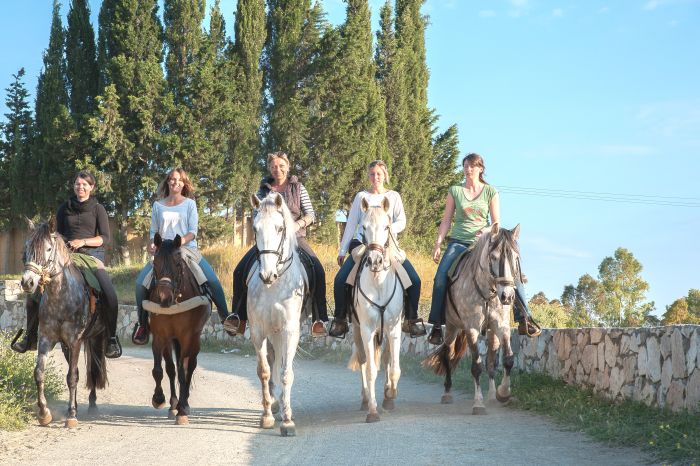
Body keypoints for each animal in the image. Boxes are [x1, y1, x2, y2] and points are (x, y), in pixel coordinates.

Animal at [21, 220, 108, 428]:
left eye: (48, 249)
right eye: (26, 248)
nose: (27, 282)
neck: (60, 296)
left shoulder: (75, 341)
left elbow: (72, 377)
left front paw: (71, 416)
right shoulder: (46, 339)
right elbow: (39, 373)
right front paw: (44, 413)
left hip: (96, 338)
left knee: (93, 370)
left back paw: (92, 404)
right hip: (66, 346)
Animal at [148, 233, 211, 426]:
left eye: (177, 264)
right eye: (154, 263)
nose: (163, 298)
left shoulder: (187, 336)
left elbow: (184, 372)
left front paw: (183, 410)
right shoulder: (160, 336)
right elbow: (159, 370)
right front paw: (159, 399)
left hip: (194, 339)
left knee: (189, 366)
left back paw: (185, 404)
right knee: (171, 368)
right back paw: (174, 404)